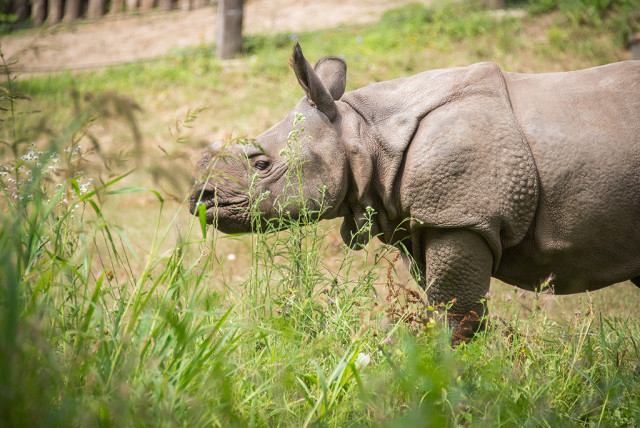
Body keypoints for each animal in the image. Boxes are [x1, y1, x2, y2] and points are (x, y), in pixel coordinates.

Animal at [191, 44, 640, 339]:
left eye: (261, 165)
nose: (201, 200)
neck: (364, 132)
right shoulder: (425, 220)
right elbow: (438, 304)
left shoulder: (462, 218)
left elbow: (456, 318)